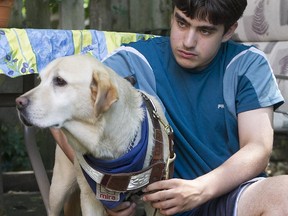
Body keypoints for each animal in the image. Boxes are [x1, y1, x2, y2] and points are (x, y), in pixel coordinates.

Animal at [15, 54, 174, 215]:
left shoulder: (157, 199)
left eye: (59, 81)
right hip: (58, 189)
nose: (18, 102)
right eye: (40, 80)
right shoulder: (89, 198)